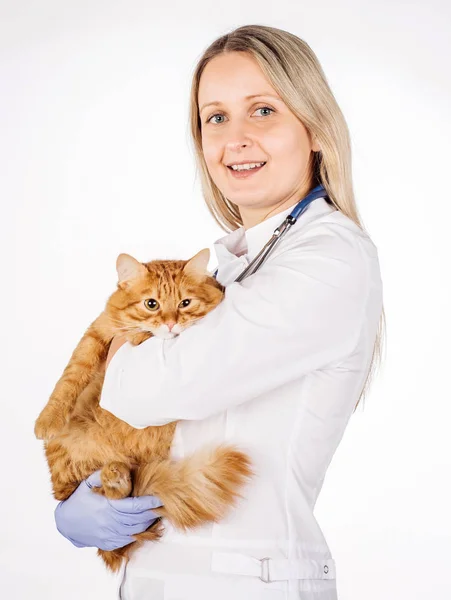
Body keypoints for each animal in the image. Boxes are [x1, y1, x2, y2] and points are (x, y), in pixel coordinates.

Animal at [35, 247, 254, 572]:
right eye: (152, 304)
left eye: (185, 303)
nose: (170, 324)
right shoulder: (97, 333)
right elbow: (69, 379)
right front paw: (47, 420)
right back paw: (113, 479)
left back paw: (117, 478)